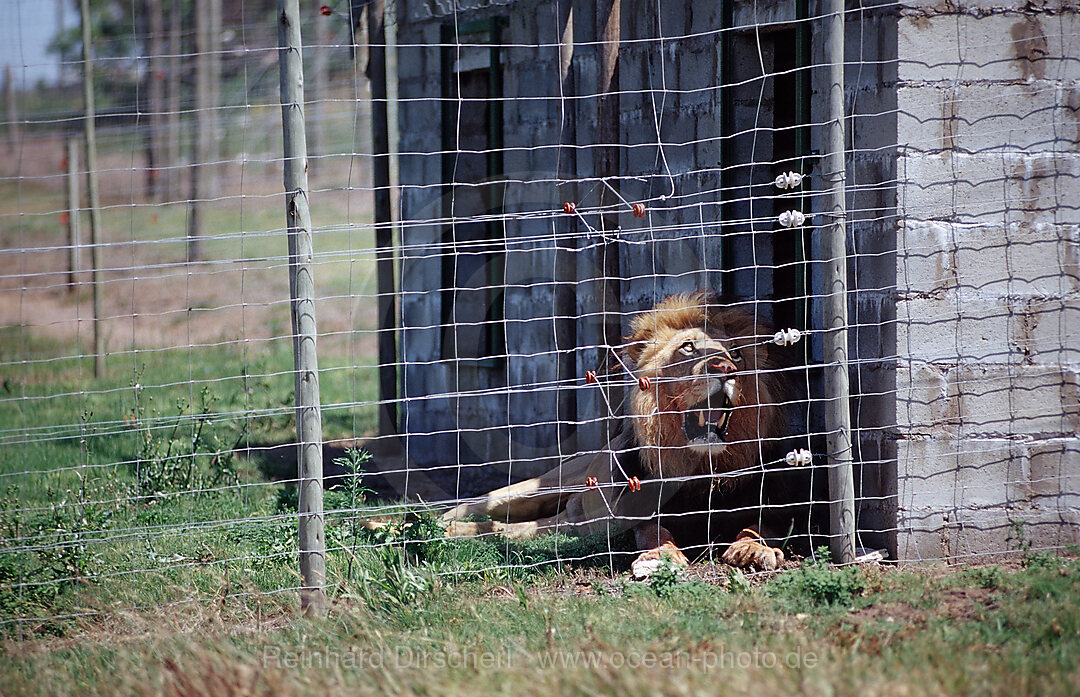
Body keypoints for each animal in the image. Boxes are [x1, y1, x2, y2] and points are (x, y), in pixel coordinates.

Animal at [438, 289, 794, 574]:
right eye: (688, 348)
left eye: (736, 355)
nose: (725, 369)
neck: (700, 467)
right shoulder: (633, 517)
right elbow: (653, 532)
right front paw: (659, 556)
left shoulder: (778, 505)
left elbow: (760, 525)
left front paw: (752, 549)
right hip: (544, 492)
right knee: (489, 516)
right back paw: (436, 526)